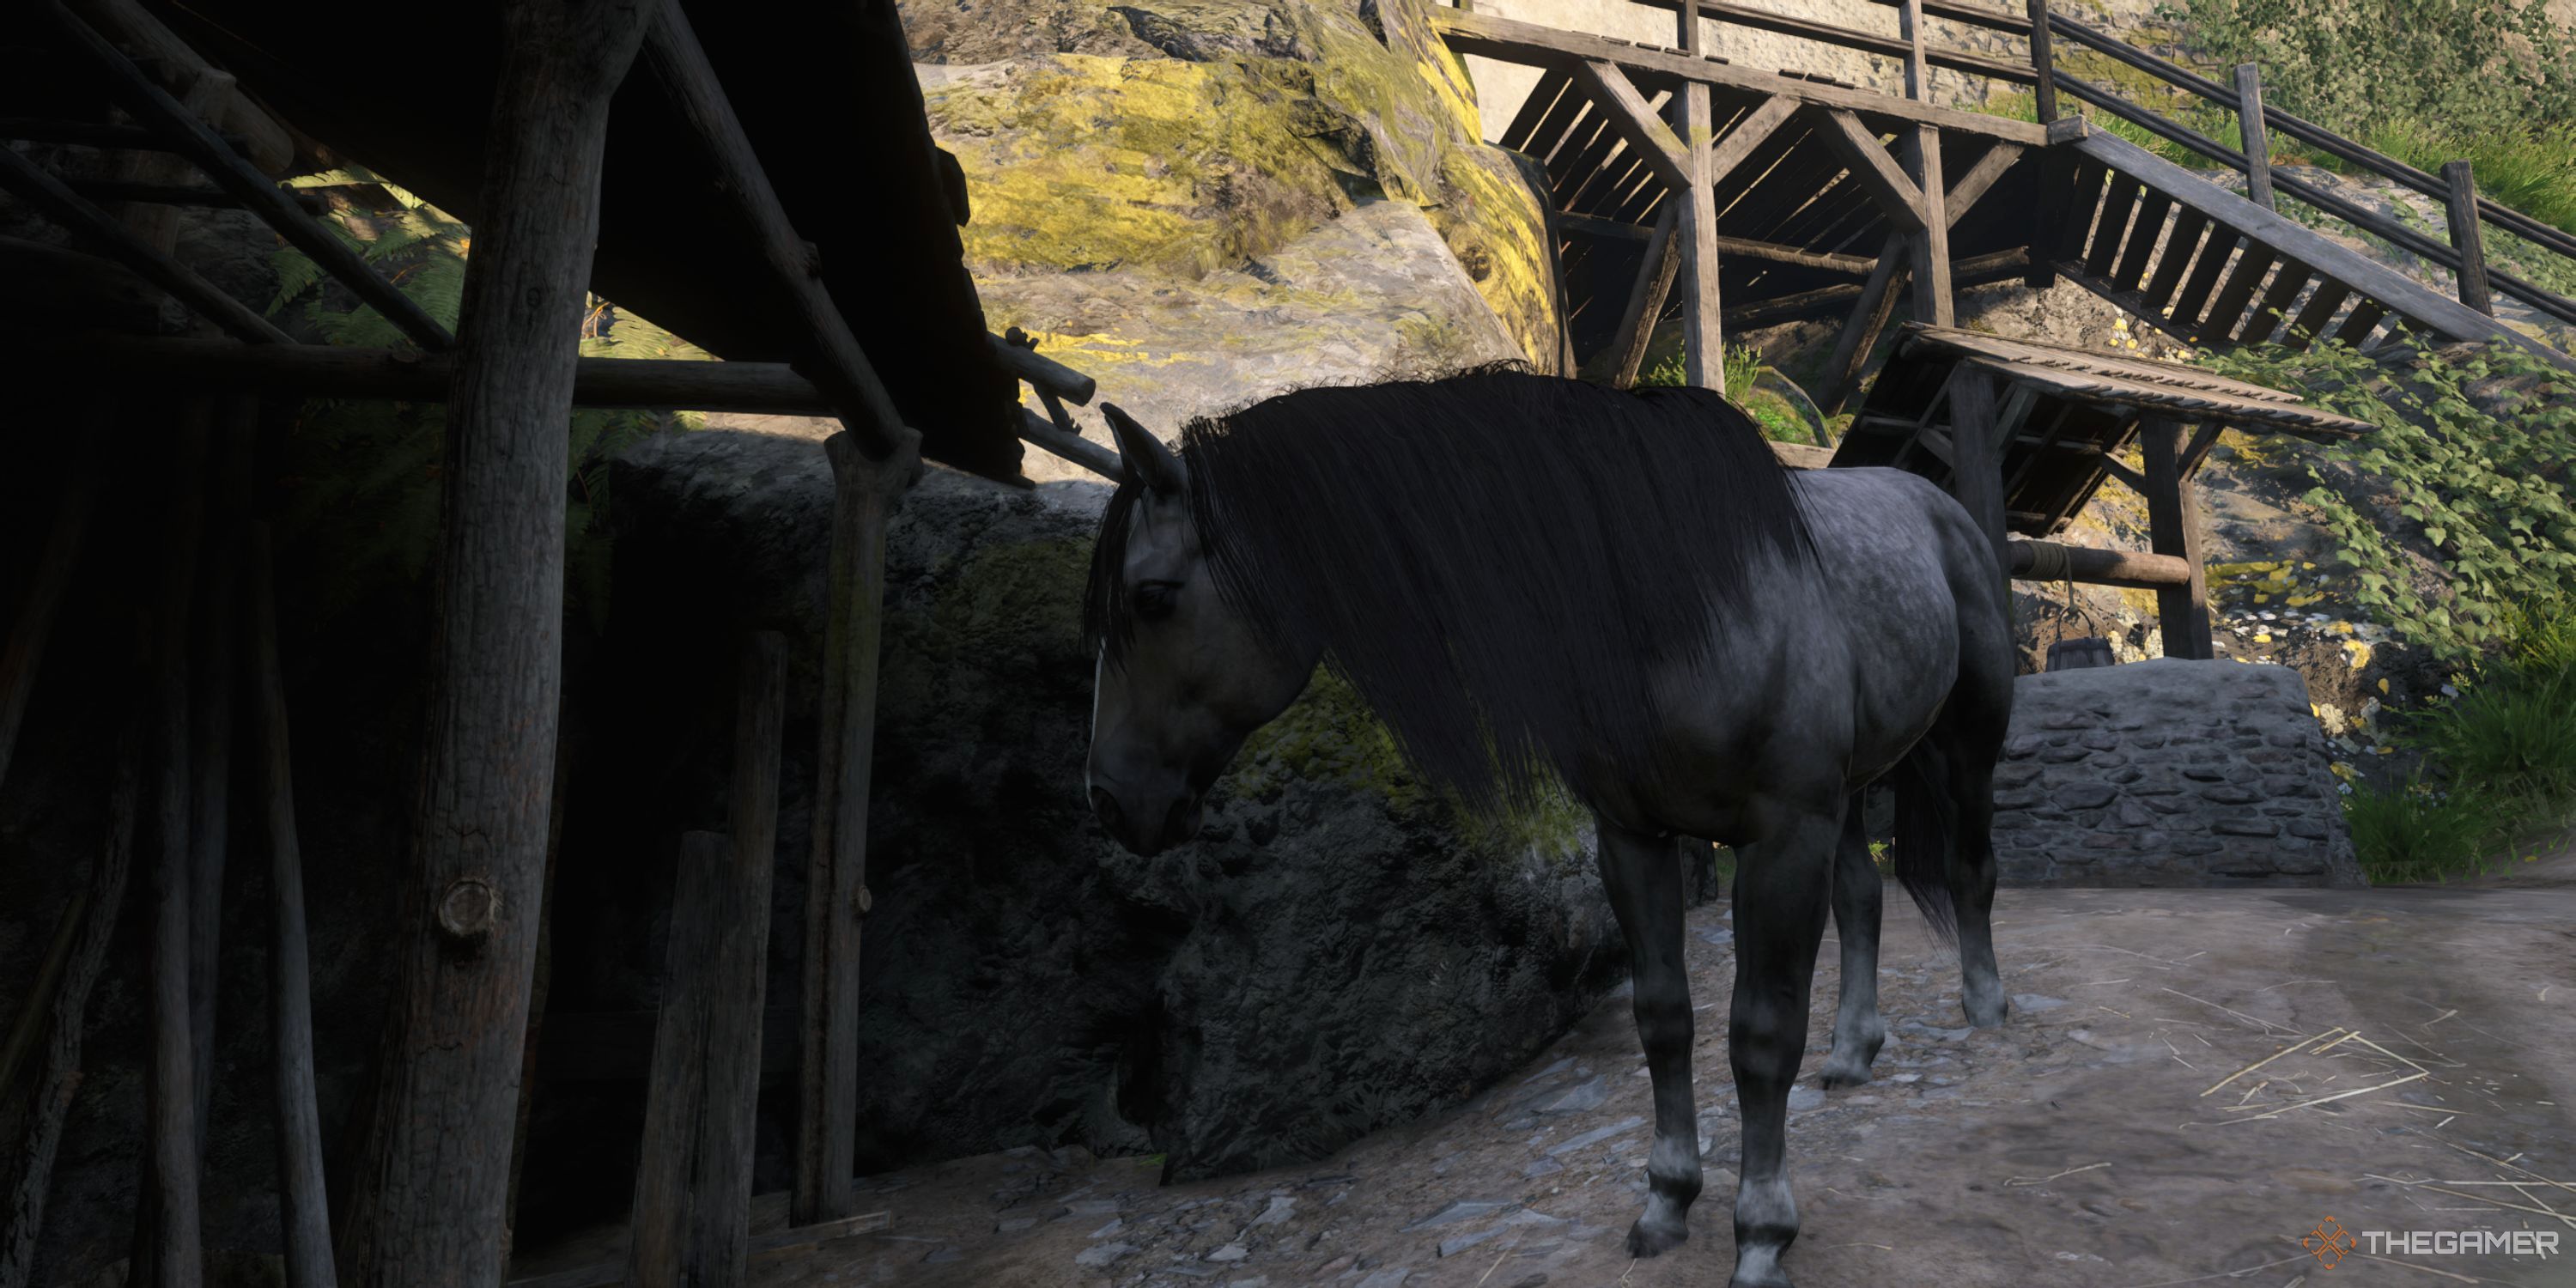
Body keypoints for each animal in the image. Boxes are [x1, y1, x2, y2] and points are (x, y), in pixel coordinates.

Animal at [1077, 366, 2020, 1288]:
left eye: (1152, 597)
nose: (1109, 798)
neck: (1683, 603)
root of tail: (1935, 502)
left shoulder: (1781, 839)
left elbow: (1760, 1033)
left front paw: (1761, 1235)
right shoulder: (1633, 839)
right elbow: (1663, 1017)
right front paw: (1667, 1202)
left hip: (1964, 745)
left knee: (1970, 869)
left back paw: (1986, 1006)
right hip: (1851, 791)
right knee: (1862, 896)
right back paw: (1853, 1053)